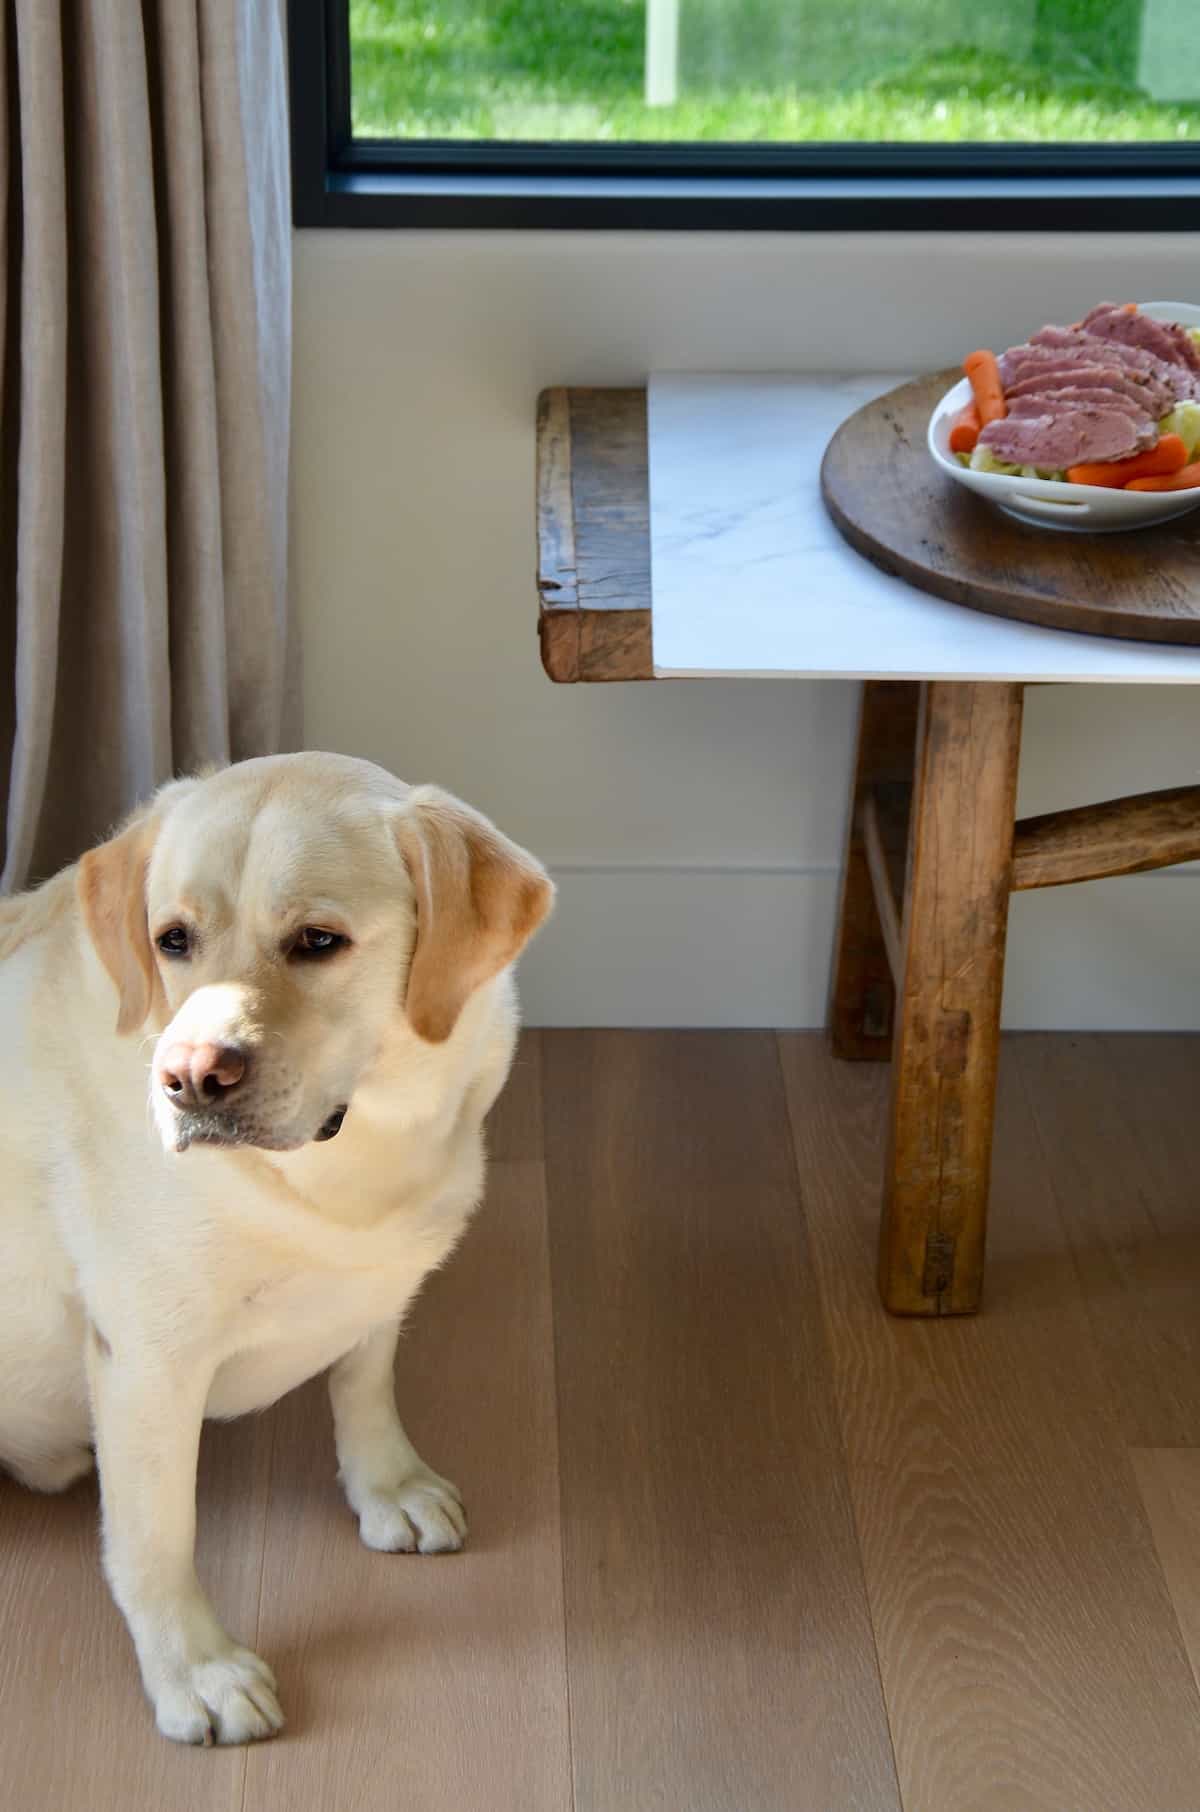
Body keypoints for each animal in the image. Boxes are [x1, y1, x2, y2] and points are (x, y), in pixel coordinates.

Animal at [0, 750, 554, 1739]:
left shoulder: (378, 1281)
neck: (346, 1164)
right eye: (172, 940)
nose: (190, 1078)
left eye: (318, 941)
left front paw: (387, 1486)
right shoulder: (147, 1362)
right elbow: (156, 1538)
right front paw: (195, 1670)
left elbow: (364, 1383)